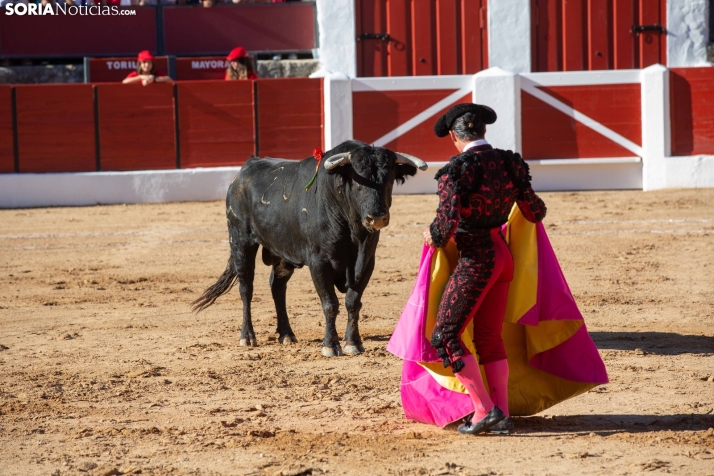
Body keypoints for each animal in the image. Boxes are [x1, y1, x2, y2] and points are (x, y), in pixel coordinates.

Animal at [191, 139, 422, 356]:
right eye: (358, 184)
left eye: (389, 181)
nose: (377, 218)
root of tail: (244, 171)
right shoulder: (318, 261)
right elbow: (330, 303)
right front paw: (330, 346)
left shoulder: (366, 262)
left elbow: (353, 302)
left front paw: (353, 343)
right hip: (240, 240)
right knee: (246, 288)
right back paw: (247, 337)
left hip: (282, 253)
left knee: (277, 287)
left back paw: (286, 334)